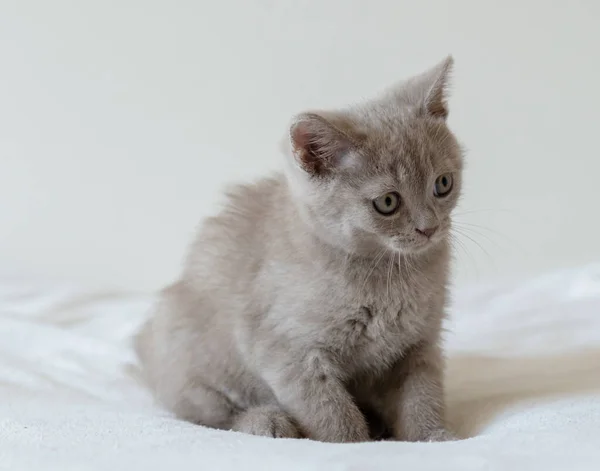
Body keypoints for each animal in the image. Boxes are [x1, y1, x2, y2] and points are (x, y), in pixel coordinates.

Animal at [136, 57, 464, 444]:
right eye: (387, 202)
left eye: (443, 184)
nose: (429, 228)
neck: (389, 273)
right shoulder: (288, 352)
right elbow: (331, 413)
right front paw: (354, 444)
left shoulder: (419, 344)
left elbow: (422, 396)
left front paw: (434, 437)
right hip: (193, 357)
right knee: (208, 413)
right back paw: (266, 421)